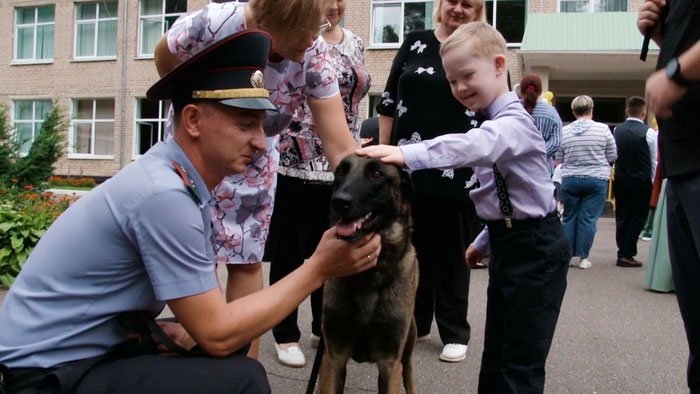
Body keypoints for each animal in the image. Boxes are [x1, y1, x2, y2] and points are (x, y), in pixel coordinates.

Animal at [320, 154, 418, 394]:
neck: (368, 278)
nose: (339, 201)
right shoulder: (334, 358)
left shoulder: (391, 365)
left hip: (407, 354)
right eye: (341, 171)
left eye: (376, 174)